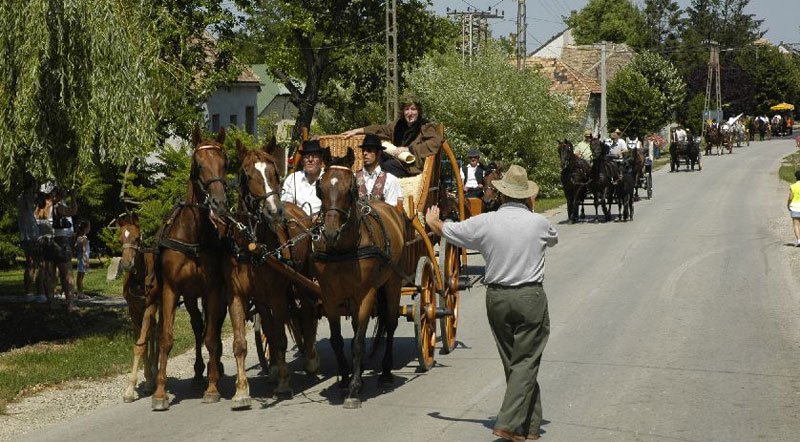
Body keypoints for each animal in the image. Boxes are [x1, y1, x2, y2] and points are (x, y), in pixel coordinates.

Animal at [152, 125, 230, 410]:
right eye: (198, 164)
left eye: (225, 162)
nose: (218, 202)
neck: (193, 234)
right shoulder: (171, 290)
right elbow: (166, 338)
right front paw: (160, 393)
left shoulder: (213, 290)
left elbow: (212, 336)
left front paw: (213, 387)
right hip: (190, 294)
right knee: (198, 325)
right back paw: (198, 372)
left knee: (211, 328)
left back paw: (215, 367)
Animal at [223, 139, 320, 410]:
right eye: (247, 175)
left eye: (275, 173)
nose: (275, 211)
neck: (253, 246)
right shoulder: (236, 296)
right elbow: (240, 344)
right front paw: (241, 392)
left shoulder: (277, 295)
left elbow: (280, 339)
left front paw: (284, 385)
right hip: (262, 298)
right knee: (269, 323)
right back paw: (275, 368)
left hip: (302, 279)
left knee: (306, 313)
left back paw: (310, 360)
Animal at [312, 147, 406, 410]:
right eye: (321, 187)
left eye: (350, 189)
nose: (330, 232)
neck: (343, 249)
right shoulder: (330, 296)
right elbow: (337, 339)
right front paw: (345, 379)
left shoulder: (366, 294)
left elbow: (358, 342)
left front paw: (353, 389)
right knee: (357, 327)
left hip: (392, 283)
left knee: (390, 323)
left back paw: (385, 373)